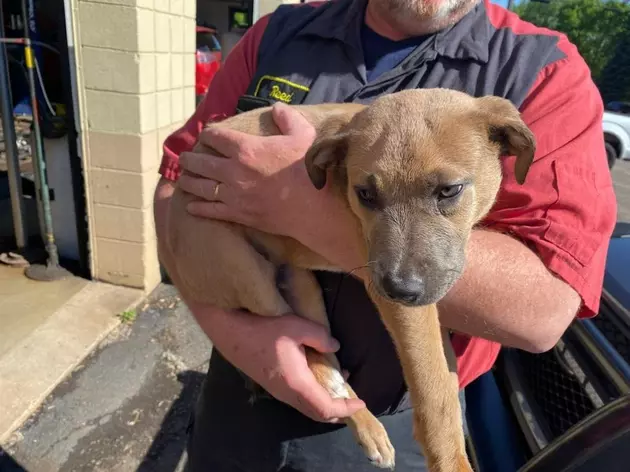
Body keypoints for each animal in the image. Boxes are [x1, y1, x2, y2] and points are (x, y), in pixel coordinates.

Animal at [163, 89, 540, 472]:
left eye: (450, 190)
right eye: (365, 195)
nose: (398, 288)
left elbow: (444, 373)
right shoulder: (401, 301)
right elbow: (434, 389)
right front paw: (451, 460)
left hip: (301, 283)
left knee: (318, 351)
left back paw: (363, 423)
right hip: (245, 273)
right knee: (293, 342)